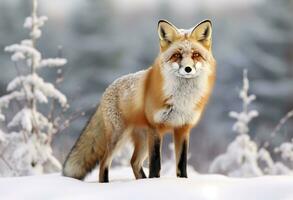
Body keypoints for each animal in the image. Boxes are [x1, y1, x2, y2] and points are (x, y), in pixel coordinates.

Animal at [62, 19, 216, 183]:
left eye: (196, 54)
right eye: (177, 55)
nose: (188, 69)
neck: (181, 100)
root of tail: (108, 88)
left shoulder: (183, 128)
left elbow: (182, 165)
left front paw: (181, 182)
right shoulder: (156, 127)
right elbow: (156, 164)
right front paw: (153, 182)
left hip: (141, 139)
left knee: (133, 162)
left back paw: (141, 180)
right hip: (119, 137)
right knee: (104, 161)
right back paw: (107, 184)